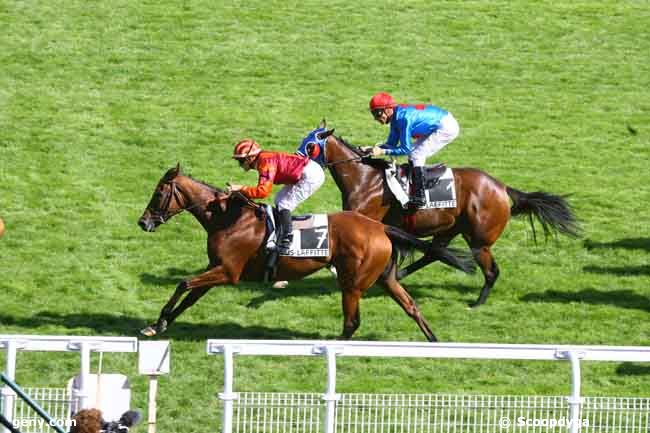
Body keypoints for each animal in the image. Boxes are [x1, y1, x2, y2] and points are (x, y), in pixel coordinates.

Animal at [137, 164, 474, 340]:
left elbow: (183, 283)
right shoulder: (216, 268)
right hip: (385, 278)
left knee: (352, 322)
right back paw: (434, 342)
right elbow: (189, 296)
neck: (228, 218)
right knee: (411, 306)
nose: (143, 222)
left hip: (352, 283)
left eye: (158, 193)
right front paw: (159, 324)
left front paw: (159, 321)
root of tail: (380, 228)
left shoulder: (227, 272)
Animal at [298, 121, 576, 308]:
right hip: (450, 229)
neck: (365, 179)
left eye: (310, 145)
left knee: (490, 271)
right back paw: (402, 275)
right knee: (434, 252)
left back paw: (476, 303)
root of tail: (502, 187)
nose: (297, 160)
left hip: (479, 240)